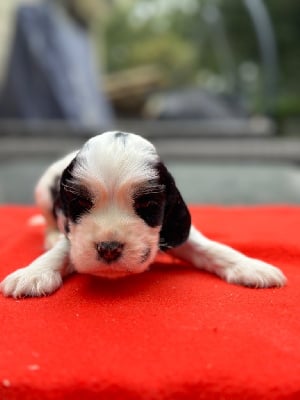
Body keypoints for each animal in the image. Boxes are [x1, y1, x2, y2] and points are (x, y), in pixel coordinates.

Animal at [0, 131, 286, 296]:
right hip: (42, 190)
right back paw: (49, 236)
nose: (109, 249)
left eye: (148, 205)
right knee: (49, 220)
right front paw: (33, 273)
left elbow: (210, 247)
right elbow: (63, 248)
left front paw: (250, 266)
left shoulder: (170, 229)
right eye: (79, 202)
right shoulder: (72, 232)